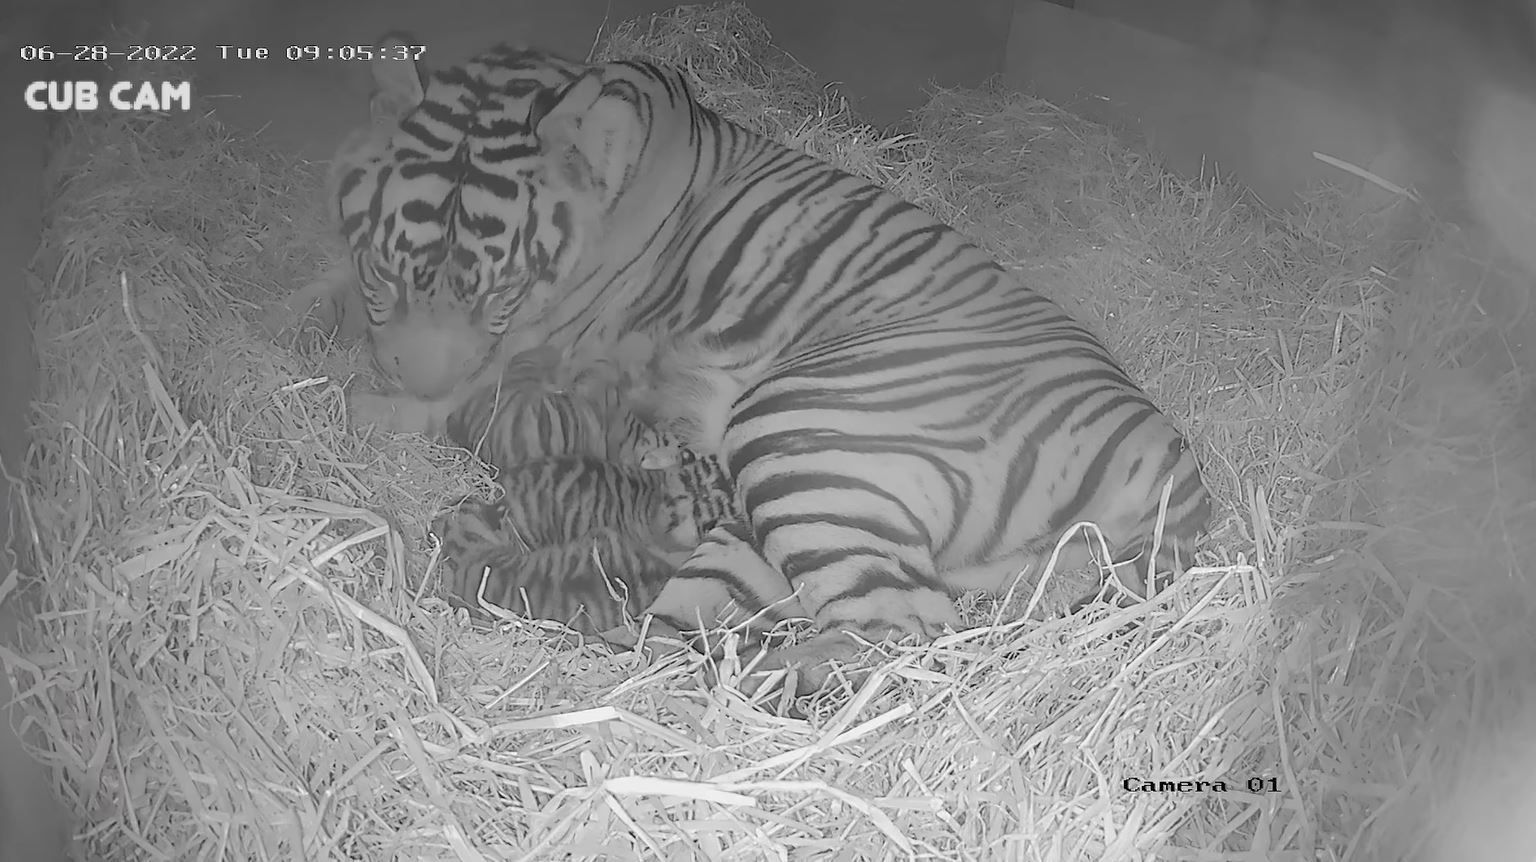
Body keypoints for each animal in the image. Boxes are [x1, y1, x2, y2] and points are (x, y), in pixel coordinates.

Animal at [323, 37, 1212, 693]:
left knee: (905, 630)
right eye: (384, 271)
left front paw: (362, 400)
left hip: (801, 428)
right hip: (767, 531)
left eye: (499, 290)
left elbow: (443, 399)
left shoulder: (524, 358)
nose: (411, 371)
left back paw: (752, 686)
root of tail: (1173, 462)